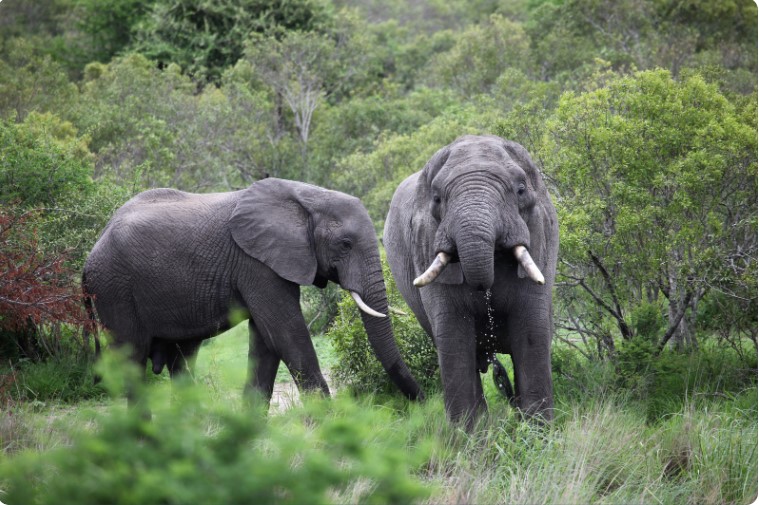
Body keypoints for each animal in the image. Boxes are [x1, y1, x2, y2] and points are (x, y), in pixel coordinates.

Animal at [85, 177, 424, 406]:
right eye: (345, 244)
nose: (423, 401)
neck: (306, 197)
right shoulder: (257, 263)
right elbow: (286, 334)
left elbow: (265, 341)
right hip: (114, 289)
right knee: (131, 361)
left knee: (181, 359)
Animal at [386, 134, 560, 426]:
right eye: (437, 198)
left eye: (521, 189)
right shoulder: (425, 243)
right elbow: (453, 340)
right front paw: (469, 437)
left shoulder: (541, 238)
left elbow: (531, 333)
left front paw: (538, 433)